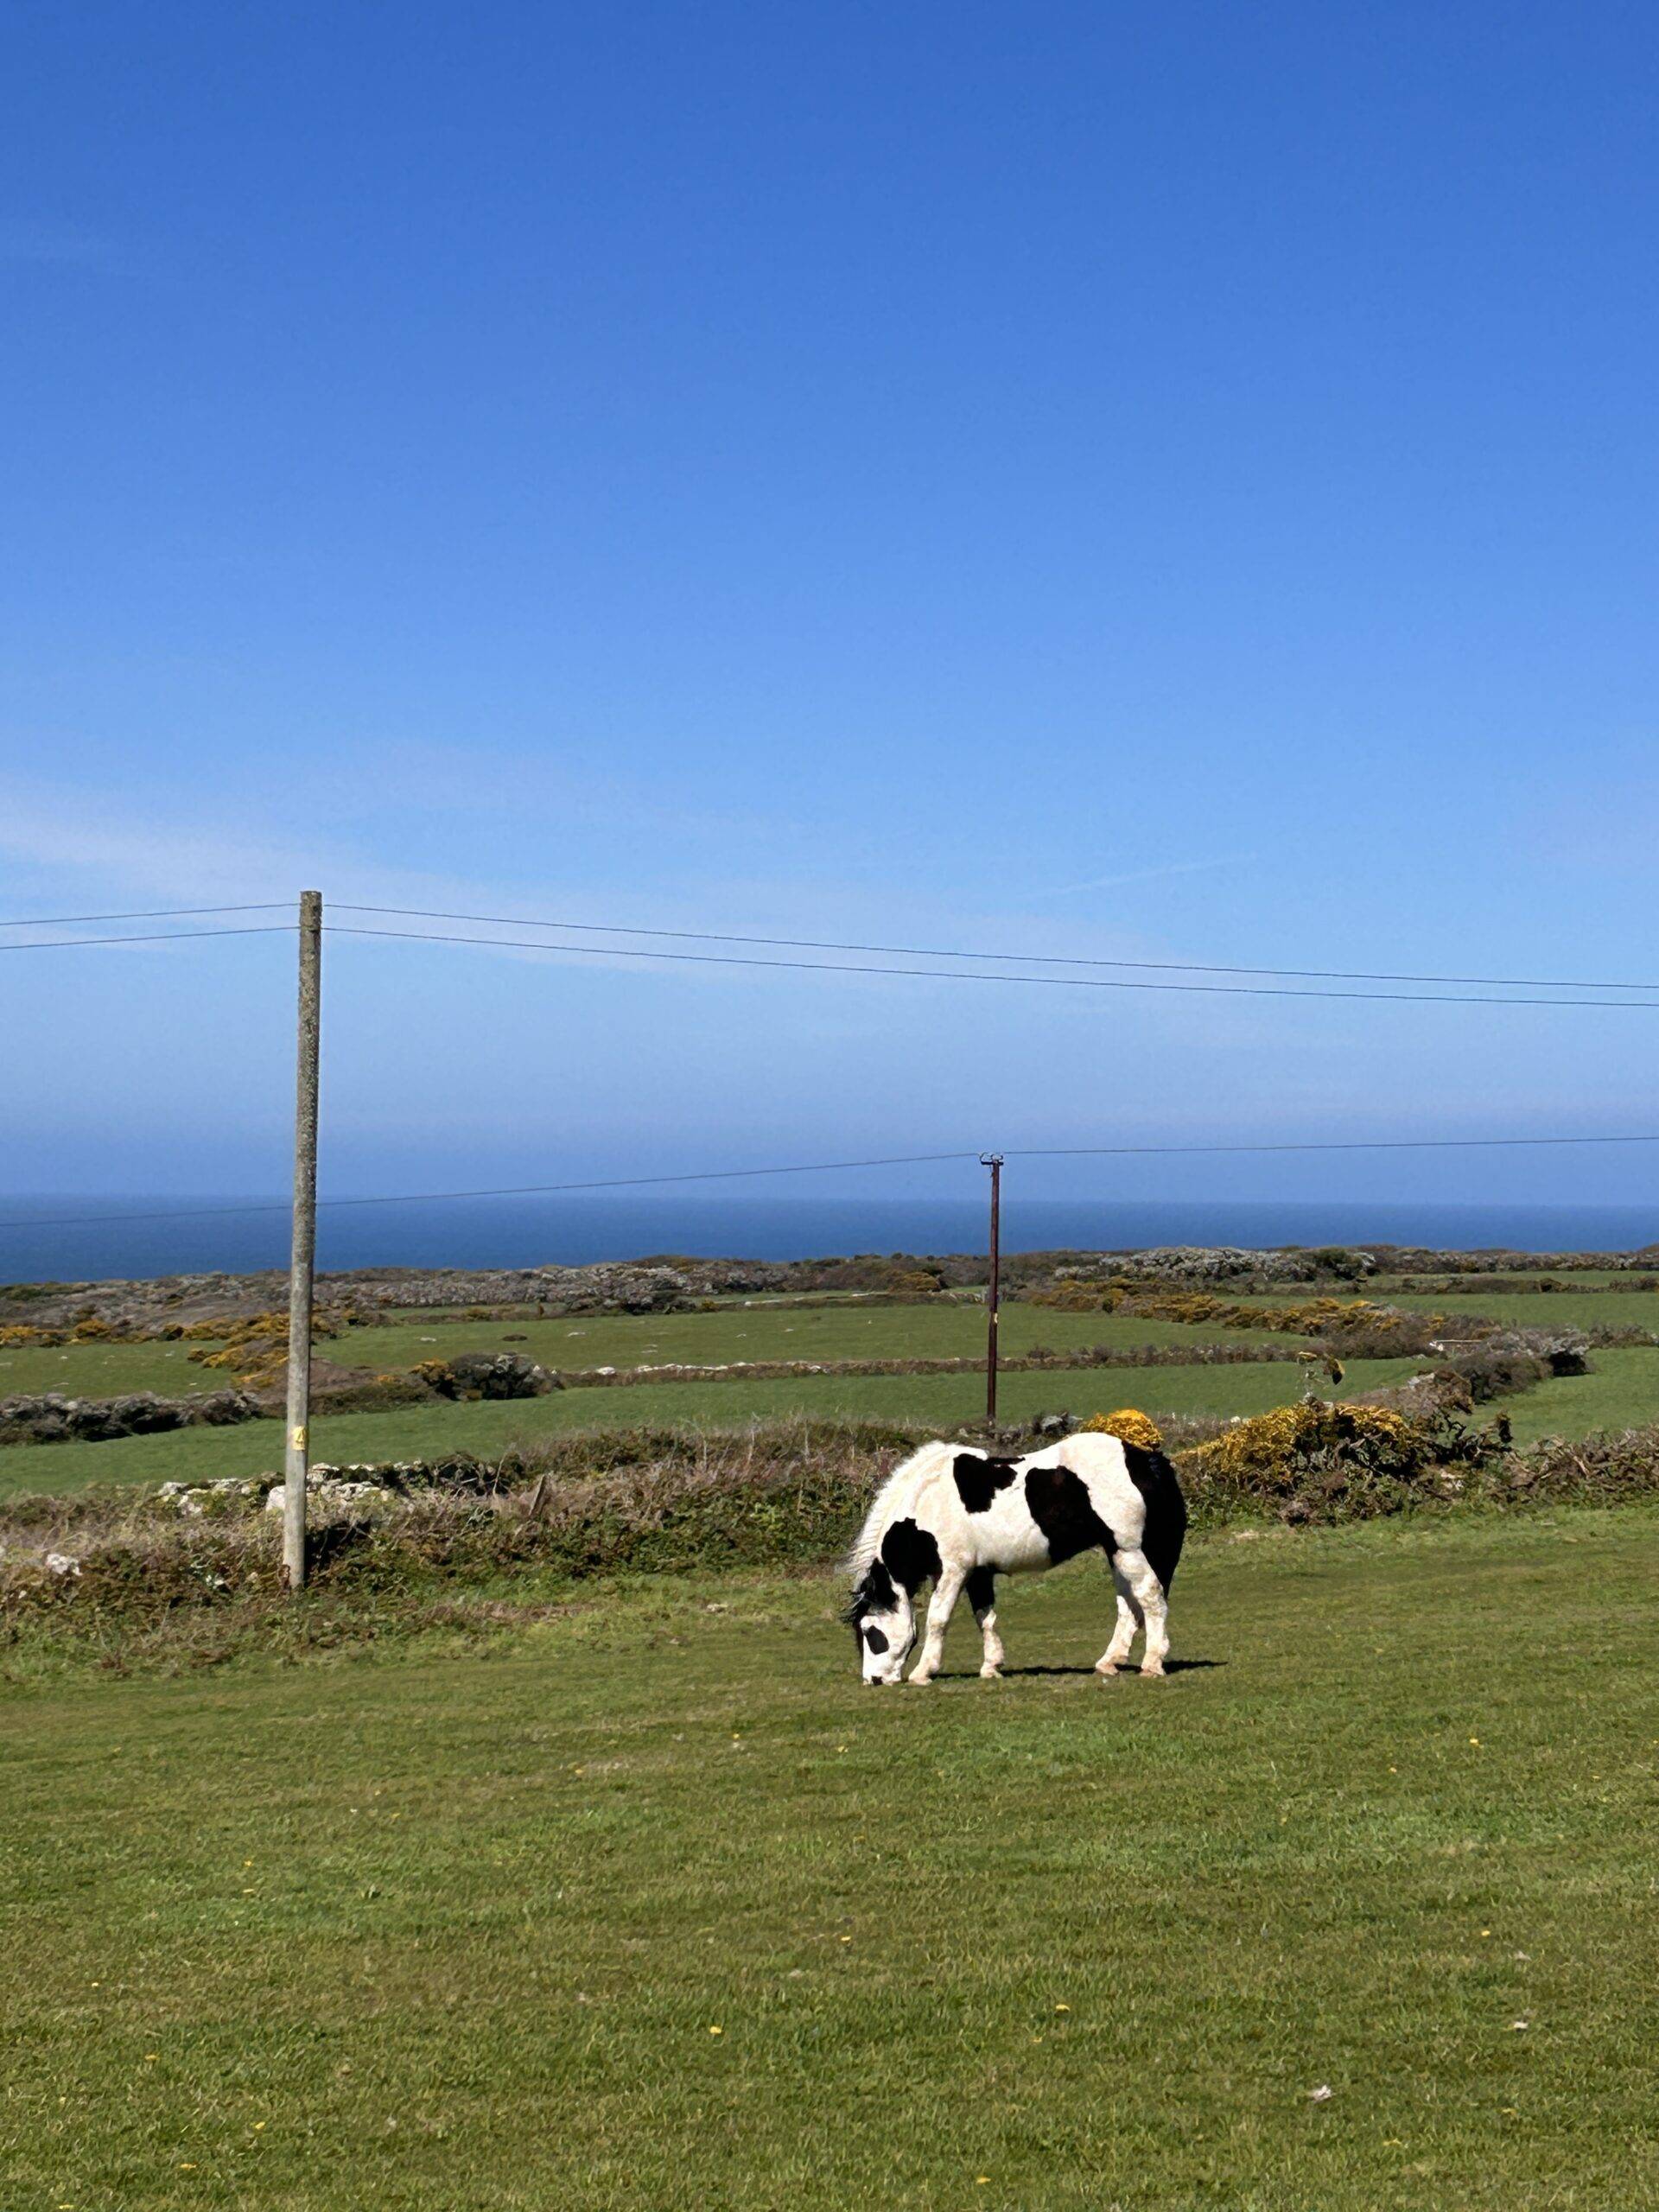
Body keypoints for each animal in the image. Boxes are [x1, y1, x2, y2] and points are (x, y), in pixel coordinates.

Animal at [842, 1430, 1187, 1685]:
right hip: (1118, 1554)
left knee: (1150, 1597)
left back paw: (1152, 1663)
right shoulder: (979, 1573)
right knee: (1128, 1604)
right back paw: (1109, 1662)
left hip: (1128, 1551)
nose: (873, 1680)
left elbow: (938, 1619)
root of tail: (1144, 1460)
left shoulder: (953, 1571)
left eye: (869, 1632)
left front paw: (923, 1672)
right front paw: (991, 1667)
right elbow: (985, 1617)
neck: (928, 1500)